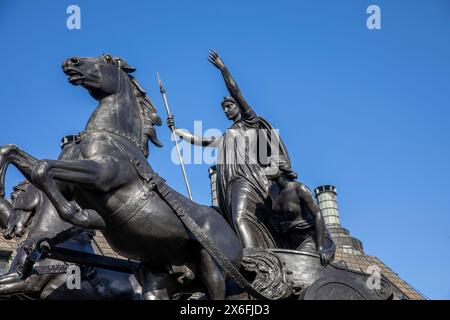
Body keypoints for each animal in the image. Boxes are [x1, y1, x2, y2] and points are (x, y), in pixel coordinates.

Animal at [0, 55, 243, 300]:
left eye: (107, 58)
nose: (71, 61)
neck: (112, 138)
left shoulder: (102, 175)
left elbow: (42, 168)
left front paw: (83, 215)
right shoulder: (64, 183)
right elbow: (23, 158)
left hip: (213, 268)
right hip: (161, 280)